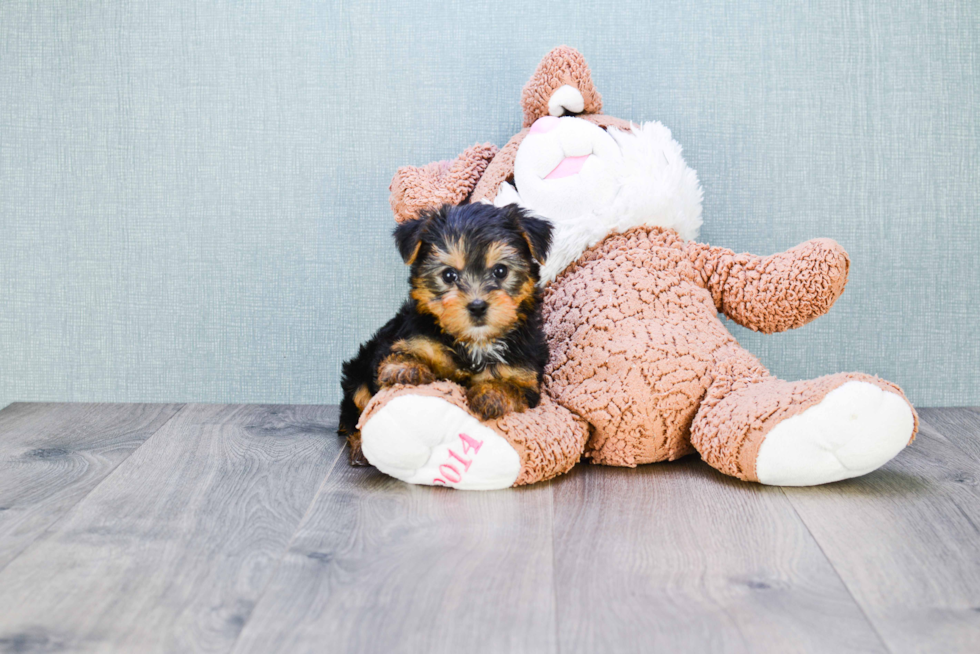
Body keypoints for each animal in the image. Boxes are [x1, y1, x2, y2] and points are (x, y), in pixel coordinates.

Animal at [336, 205, 552, 466]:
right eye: (449, 275)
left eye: (500, 271)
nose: (477, 306)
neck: (474, 342)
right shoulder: (406, 338)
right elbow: (398, 355)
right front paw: (404, 368)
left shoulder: (525, 375)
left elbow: (513, 387)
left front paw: (492, 394)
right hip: (357, 370)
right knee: (356, 410)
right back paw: (360, 447)